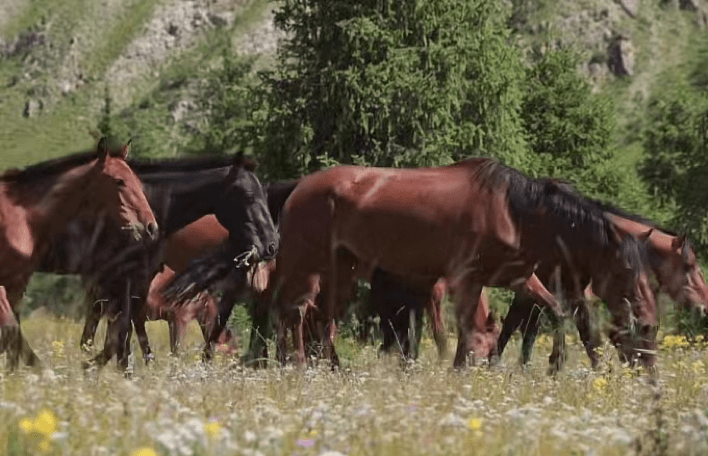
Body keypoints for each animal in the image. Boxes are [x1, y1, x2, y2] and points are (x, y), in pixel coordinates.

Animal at [0, 140, 156, 370]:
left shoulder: (17, 283)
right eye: (119, 181)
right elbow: (11, 330)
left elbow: (12, 335)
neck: (21, 216)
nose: (150, 226)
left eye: (136, 180)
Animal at [38, 151, 276, 368]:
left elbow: (123, 333)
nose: (271, 244)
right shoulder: (122, 280)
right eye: (249, 195)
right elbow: (121, 333)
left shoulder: (137, 281)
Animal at [272, 159, 660, 368]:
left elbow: (557, 312)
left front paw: (558, 364)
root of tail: (300, 186)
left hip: (342, 271)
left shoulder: (517, 278)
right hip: (304, 265)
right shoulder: (467, 279)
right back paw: (298, 364)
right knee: (293, 312)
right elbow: (465, 331)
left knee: (321, 319)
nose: (647, 323)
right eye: (627, 270)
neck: (515, 213)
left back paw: (327, 367)